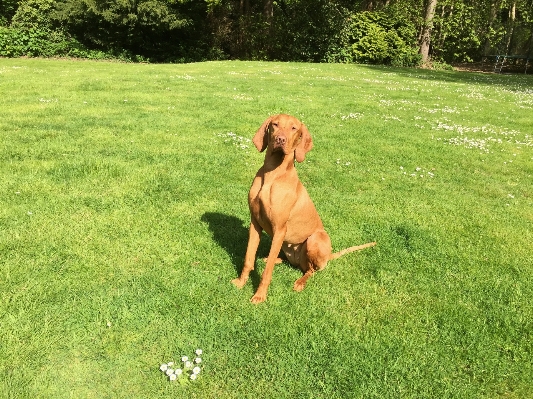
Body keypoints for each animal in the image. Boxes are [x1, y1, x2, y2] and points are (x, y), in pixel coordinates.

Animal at [231, 114, 376, 304]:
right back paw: (271, 259)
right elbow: (248, 258)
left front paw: (260, 295)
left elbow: (267, 272)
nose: (280, 139)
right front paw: (241, 282)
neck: (272, 174)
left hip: (315, 239)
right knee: (282, 260)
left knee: (311, 270)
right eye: (275, 125)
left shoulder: (280, 229)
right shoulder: (255, 223)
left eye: (294, 128)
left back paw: (300, 282)